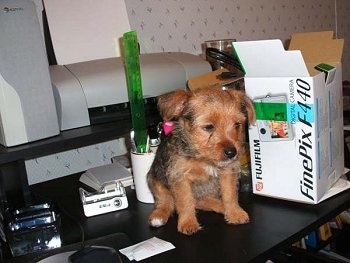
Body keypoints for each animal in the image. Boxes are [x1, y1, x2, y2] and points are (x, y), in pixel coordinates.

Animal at [146, 87, 256, 236]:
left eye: (237, 124)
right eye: (209, 127)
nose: (232, 153)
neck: (204, 159)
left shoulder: (227, 172)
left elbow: (230, 195)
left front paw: (234, 212)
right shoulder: (180, 178)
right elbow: (185, 201)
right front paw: (187, 222)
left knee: (201, 201)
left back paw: (221, 206)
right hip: (154, 180)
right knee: (166, 200)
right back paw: (159, 215)